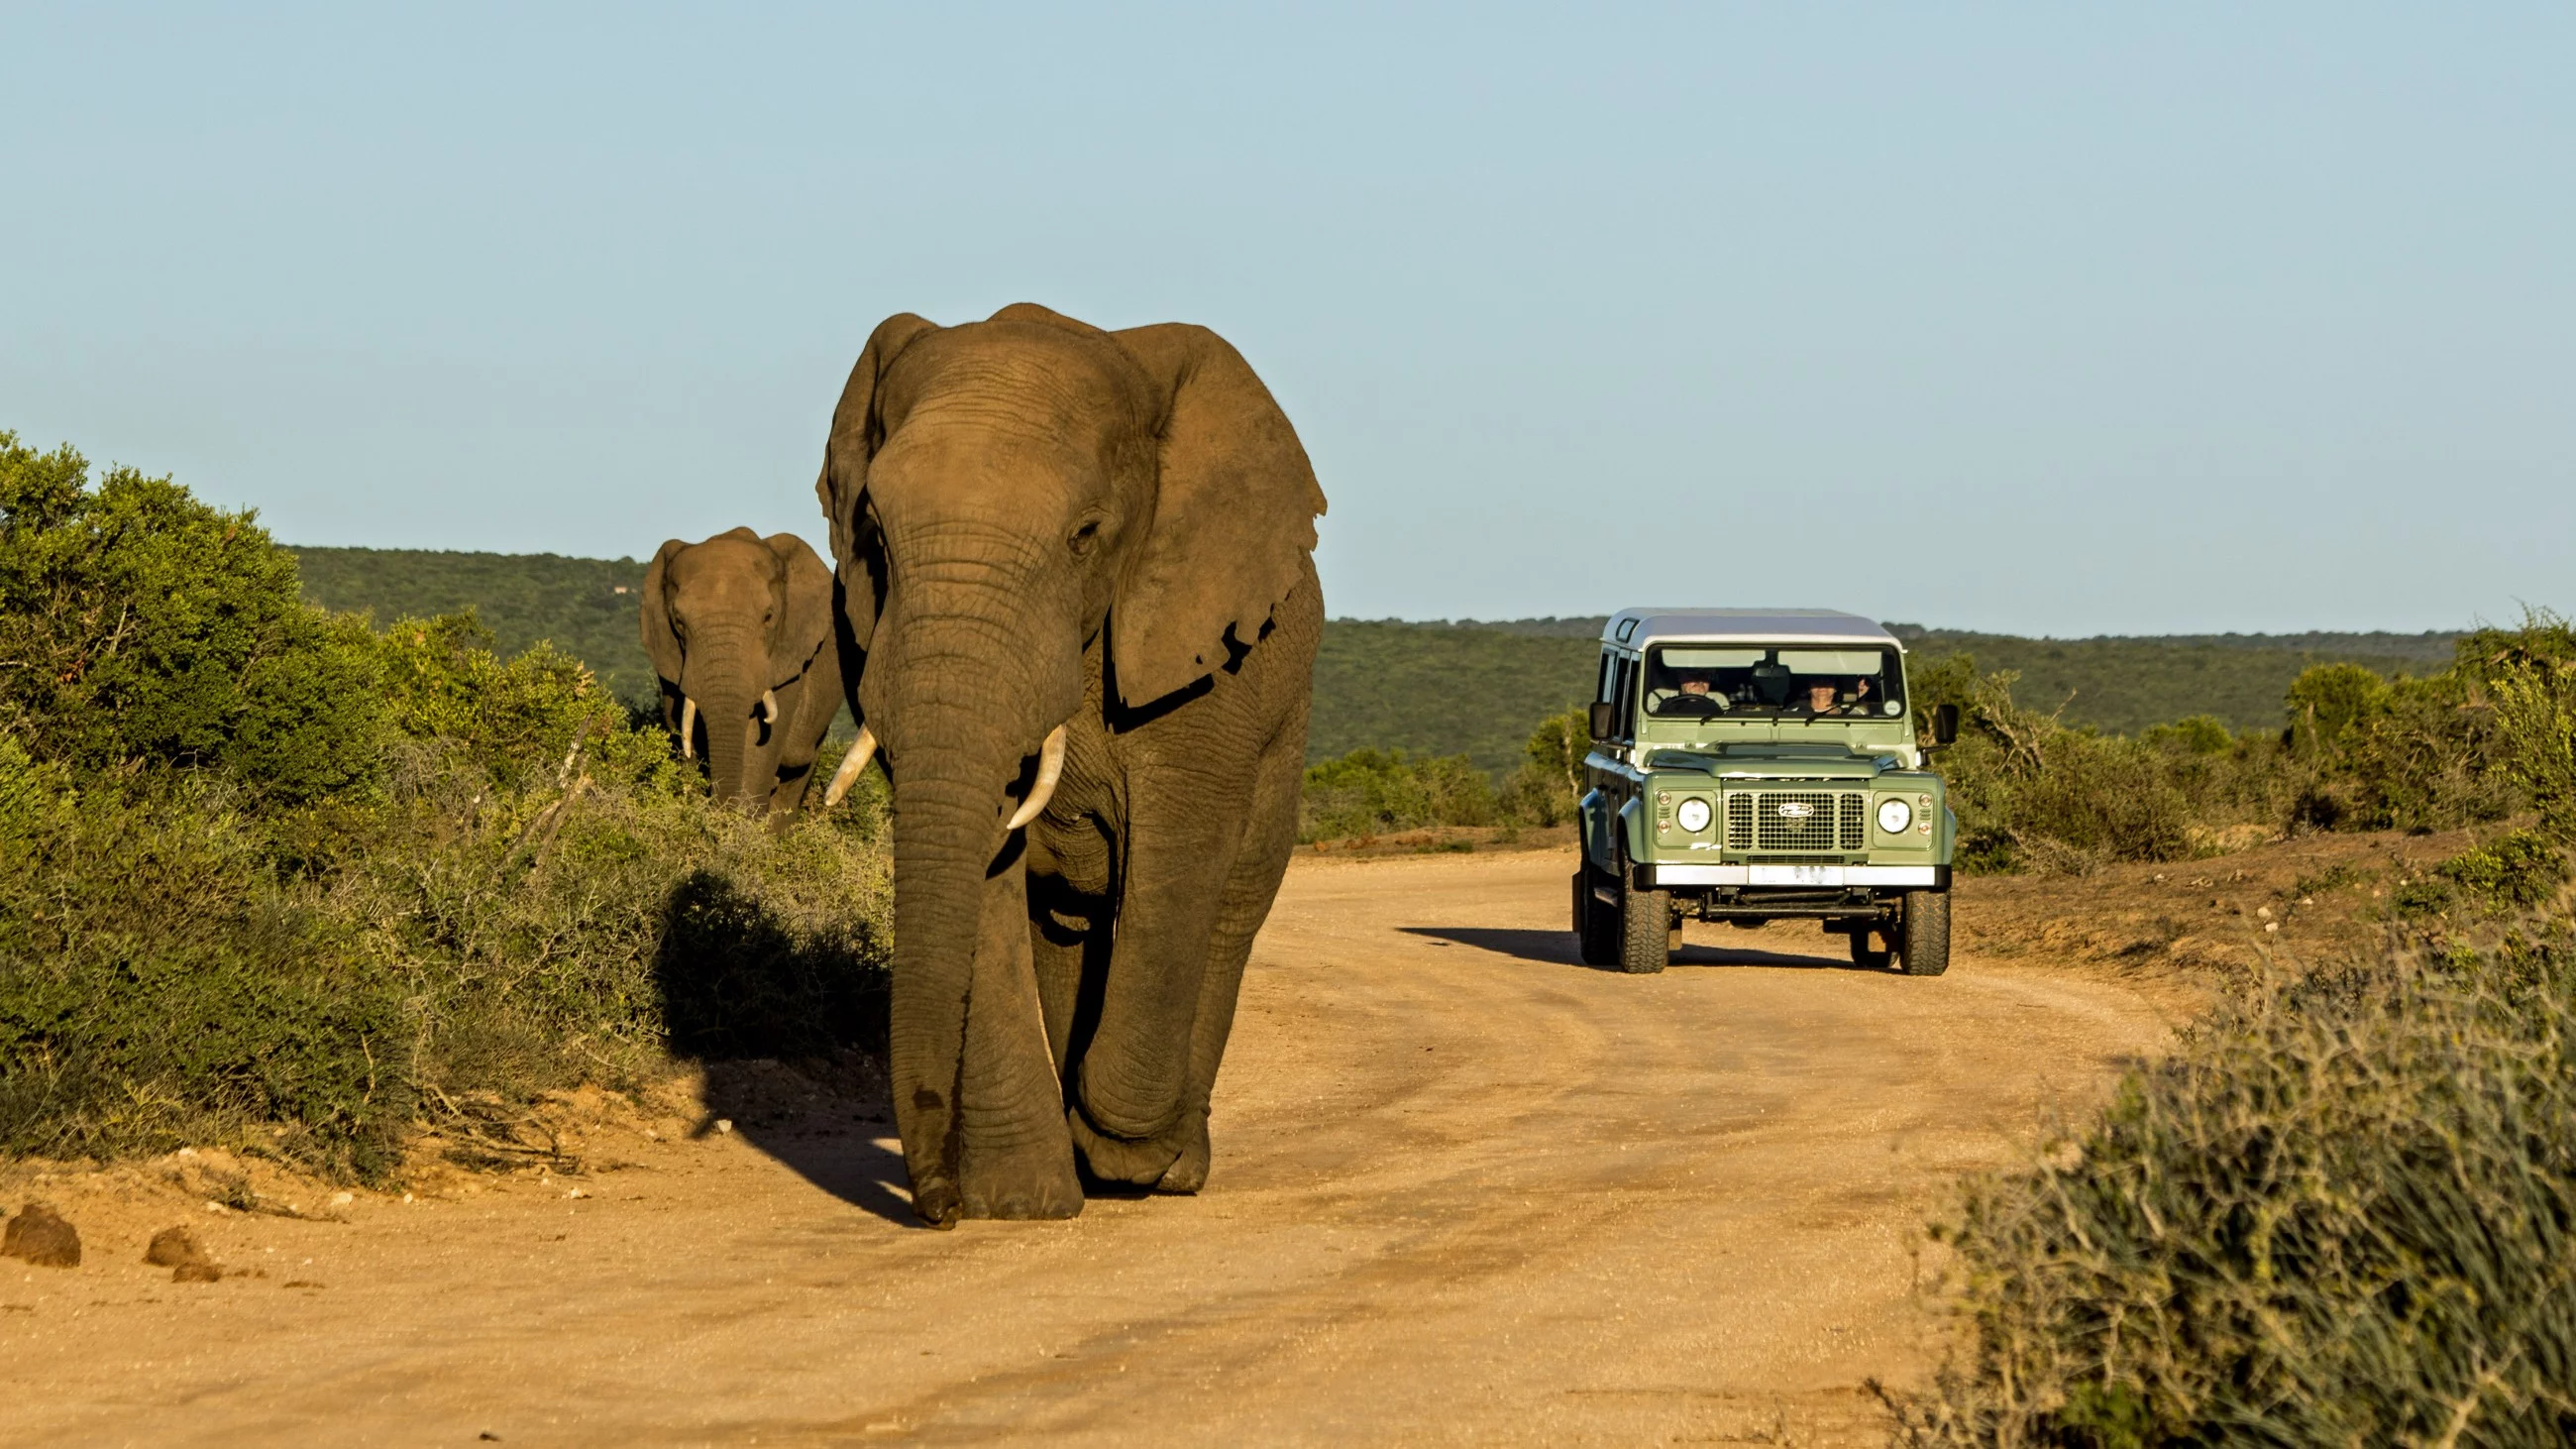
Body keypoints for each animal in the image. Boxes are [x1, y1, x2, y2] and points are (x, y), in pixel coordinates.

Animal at [813, 301, 1329, 1216]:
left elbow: (1178, 859)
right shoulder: (865, 632)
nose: (937, 1205)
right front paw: (1020, 1201)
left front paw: (1123, 1152)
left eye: (1085, 536)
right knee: (1065, 925)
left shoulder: (1201, 657)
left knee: (1230, 907)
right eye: (872, 533)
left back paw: (1169, 1169)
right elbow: (987, 876)